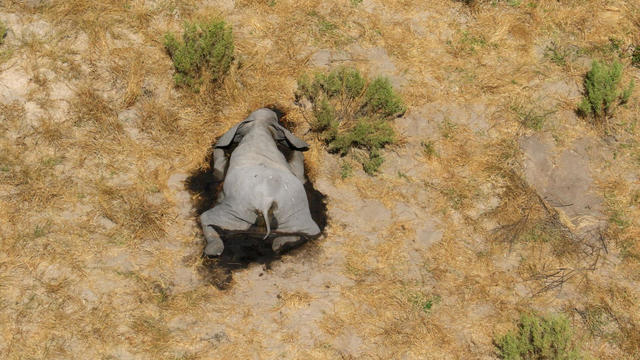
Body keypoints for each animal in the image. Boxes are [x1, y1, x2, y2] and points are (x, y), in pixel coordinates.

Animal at [199, 107, 320, 256]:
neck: (259, 127)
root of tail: (266, 204)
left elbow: (220, 168)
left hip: (238, 212)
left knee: (206, 217)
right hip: (293, 213)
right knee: (310, 232)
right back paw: (279, 245)